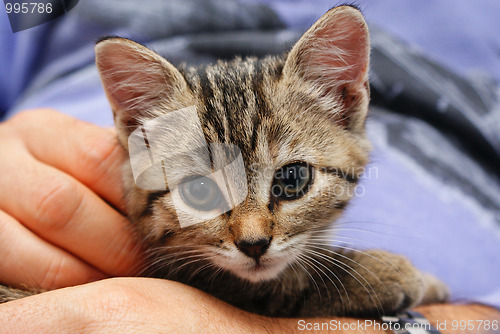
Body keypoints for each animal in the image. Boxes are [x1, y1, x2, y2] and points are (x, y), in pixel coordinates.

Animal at [0, 5, 446, 316]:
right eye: (199, 191)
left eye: (292, 179)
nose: (254, 245)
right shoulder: (187, 272)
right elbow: (274, 285)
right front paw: (379, 273)